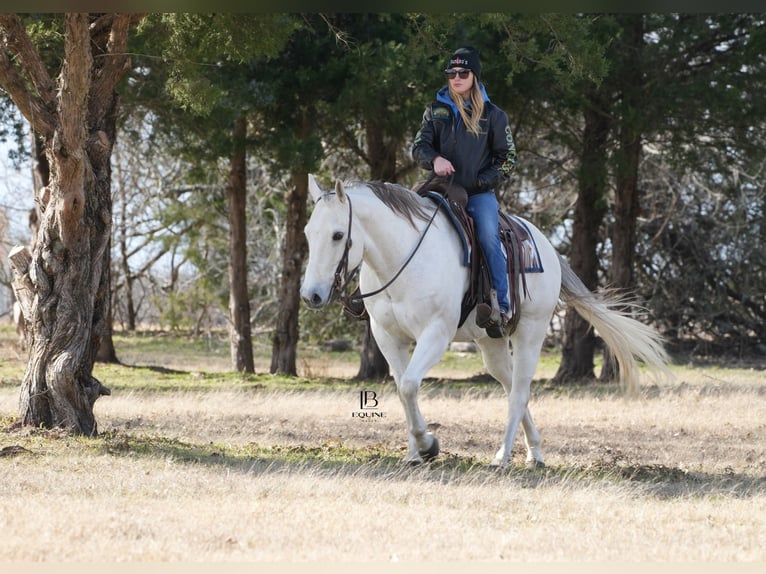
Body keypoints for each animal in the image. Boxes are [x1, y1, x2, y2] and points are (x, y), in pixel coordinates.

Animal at [302, 174, 672, 468]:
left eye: (338, 235)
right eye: (307, 232)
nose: (311, 295)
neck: (404, 258)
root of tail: (548, 248)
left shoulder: (436, 333)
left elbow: (409, 385)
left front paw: (428, 444)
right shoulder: (387, 337)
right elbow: (404, 388)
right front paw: (414, 453)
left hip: (531, 333)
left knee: (519, 393)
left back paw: (502, 457)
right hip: (490, 344)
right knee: (512, 387)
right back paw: (534, 452)